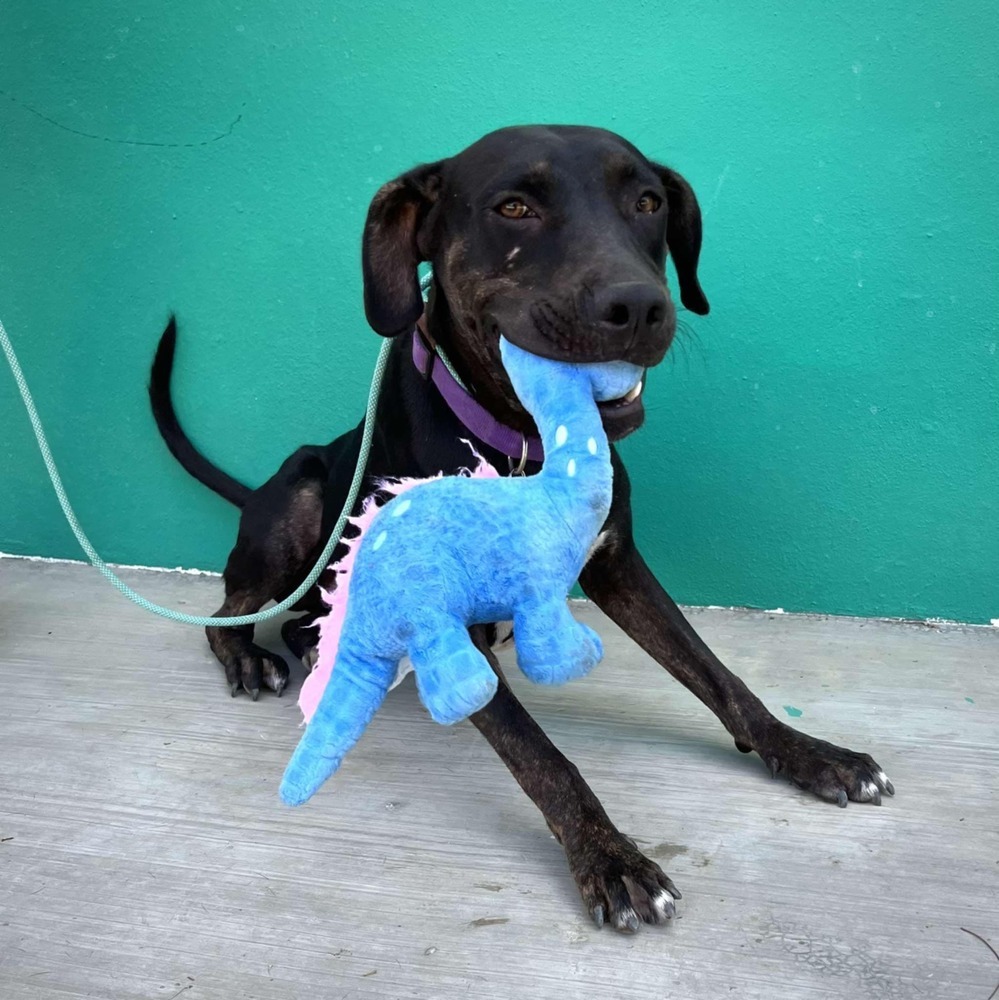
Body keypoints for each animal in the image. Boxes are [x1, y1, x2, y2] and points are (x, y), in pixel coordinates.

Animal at [152, 127, 896, 936]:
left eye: (648, 202)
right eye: (513, 208)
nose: (639, 305)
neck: (526, 442)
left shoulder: (616, 563)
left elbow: (716, 673)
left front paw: (806, 752)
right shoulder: (449, 621)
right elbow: (540, 755)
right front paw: (610, 857)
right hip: (304, 492)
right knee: (230, 610)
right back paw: (250, 657)